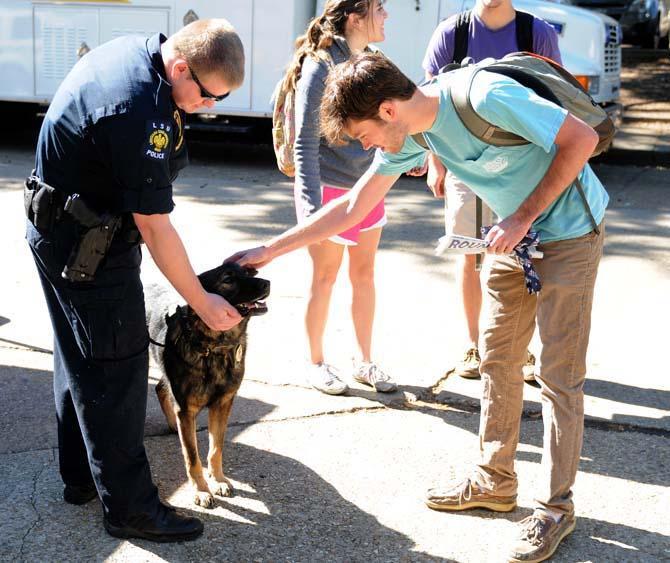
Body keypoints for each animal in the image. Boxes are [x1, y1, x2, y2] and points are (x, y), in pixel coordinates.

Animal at [147, 262, 270, 508]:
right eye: (228, 279)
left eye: (248, 272)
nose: (267, 283)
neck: (215, 348)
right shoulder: (186, 410)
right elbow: (192, 458)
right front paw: (201, 491)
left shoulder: (222, 406)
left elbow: (216, 449)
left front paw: (219, 480)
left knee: (160, 389)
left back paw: (173, 425)